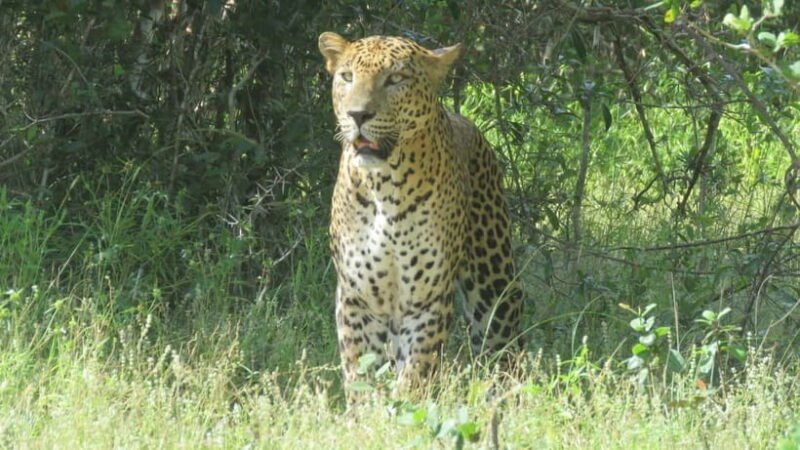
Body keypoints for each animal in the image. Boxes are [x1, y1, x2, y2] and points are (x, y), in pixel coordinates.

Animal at [319, 32, 524, 398]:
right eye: (347, 77)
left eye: (395, 79)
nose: (358, 115)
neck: (383, 186)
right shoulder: (358, 297)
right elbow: (360, 370)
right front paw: (365, 411)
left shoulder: (426, 297)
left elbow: (417, 371)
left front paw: (406, 405)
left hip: (493, 280)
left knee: (503, 344)